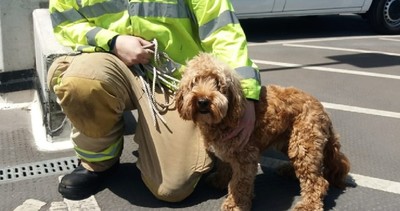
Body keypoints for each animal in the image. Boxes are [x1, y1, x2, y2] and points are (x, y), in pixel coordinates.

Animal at [175, 52, 350, 209]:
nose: (203, 101)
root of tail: (322, 110)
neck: (225, 118)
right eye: (194, 83)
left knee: (318, 181)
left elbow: (239, 184)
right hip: (289, 141)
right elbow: (225, 166)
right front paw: (220, 180)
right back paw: (288, 170)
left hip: (303, 142)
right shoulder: (225, 151)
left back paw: (308, 205)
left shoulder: (246, 156)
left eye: (218, 84)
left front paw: (235, 204)